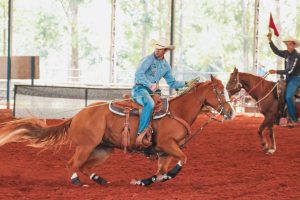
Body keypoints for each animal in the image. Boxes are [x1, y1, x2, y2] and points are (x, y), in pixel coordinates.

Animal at [0, 75, 232, 186]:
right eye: (220, 91)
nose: (230, 112)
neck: (177, 111)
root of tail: (77, 116)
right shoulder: (167, 145)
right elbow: (182, 160)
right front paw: (161, 177)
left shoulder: (164, 152)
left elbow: (160, 172)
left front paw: (144, 181)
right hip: (86, 146)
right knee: (73, 163)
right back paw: (77, 182)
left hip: (104, 149)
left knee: (85, 166)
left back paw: (99, 180)